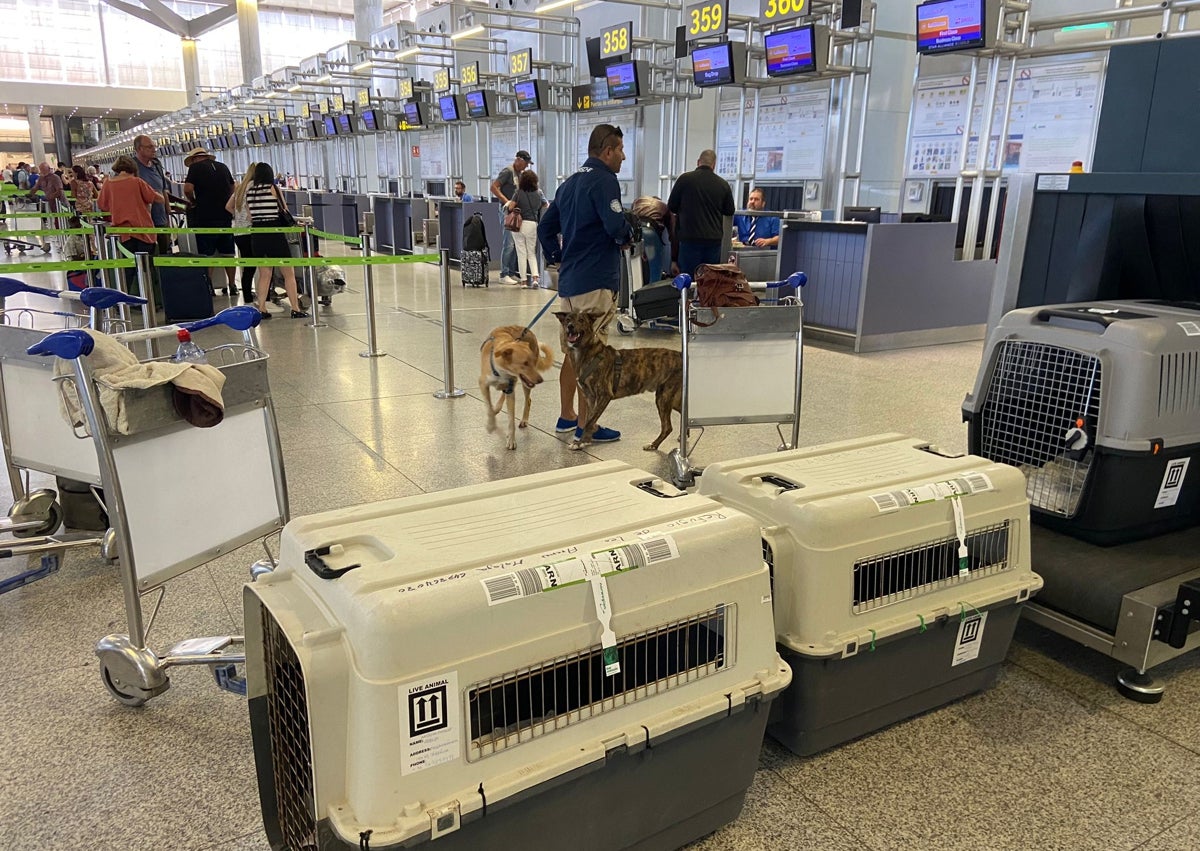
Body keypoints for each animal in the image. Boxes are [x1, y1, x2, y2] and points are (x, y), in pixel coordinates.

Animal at [554, 309, 681, 451]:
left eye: (581, 320)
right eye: (567, 319)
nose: (570, 326)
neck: (587, 352)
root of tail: (681, 355)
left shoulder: (604, 395)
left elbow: (590, 421)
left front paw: (580, 442)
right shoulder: (590, 397)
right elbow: (589, 419)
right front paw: (585, 440)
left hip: (664, 397)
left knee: (667, 427)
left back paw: (654, 444)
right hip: (670, 399)